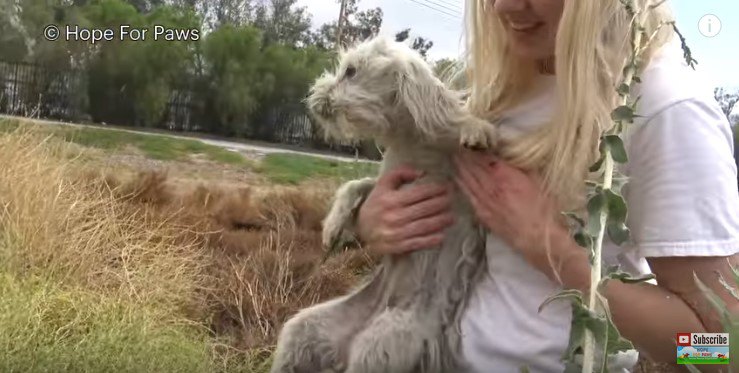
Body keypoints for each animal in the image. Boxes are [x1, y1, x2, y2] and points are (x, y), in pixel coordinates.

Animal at [270, 35, 498, 372]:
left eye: (351, 71)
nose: (313, 97)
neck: (412, 142)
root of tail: (348, 345)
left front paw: (475, 129)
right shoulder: (386, 184)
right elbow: (354, 186)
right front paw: (333, 227)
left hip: (379, 345)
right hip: (305, 328)